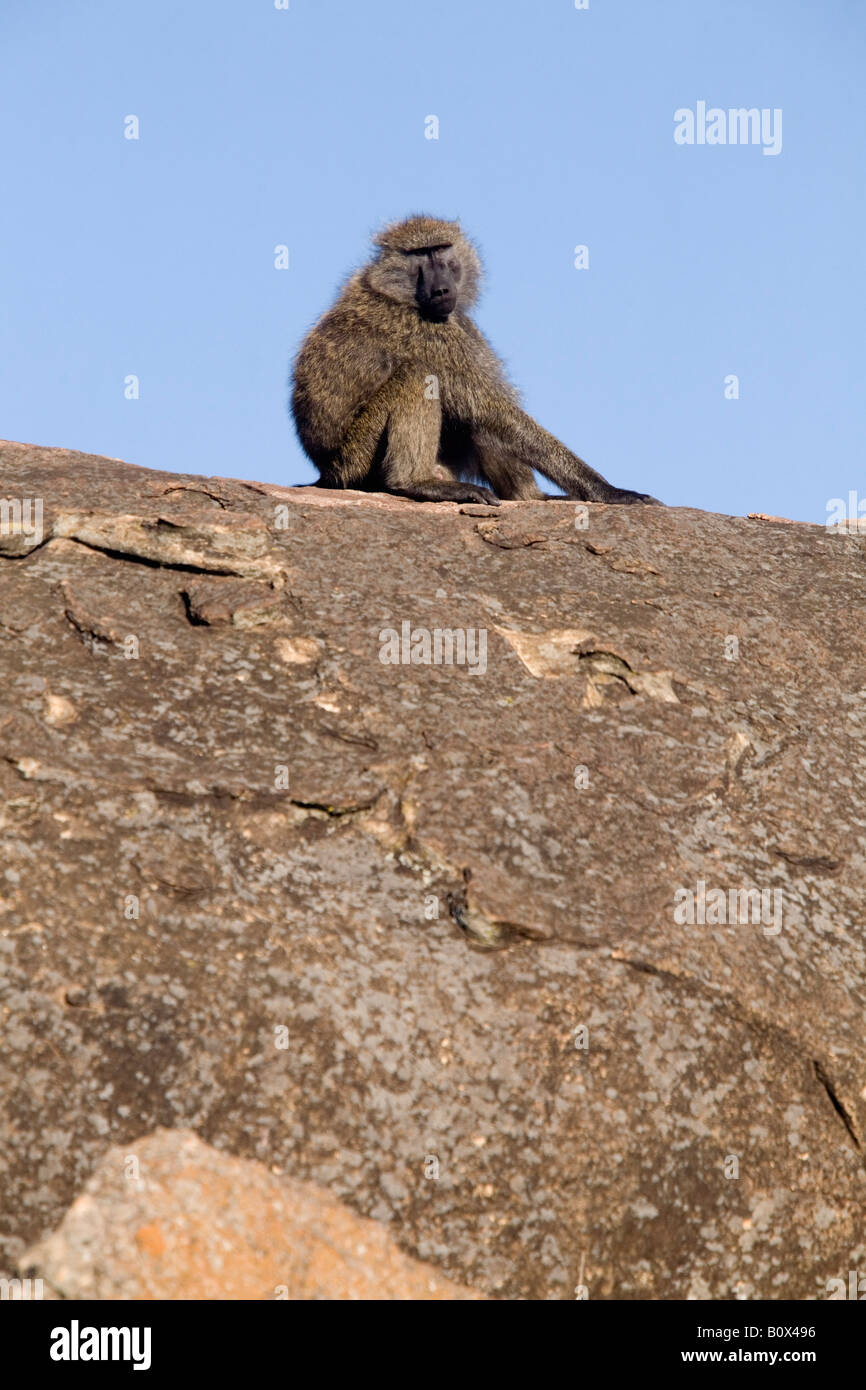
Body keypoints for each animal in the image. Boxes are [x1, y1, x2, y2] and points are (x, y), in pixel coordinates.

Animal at [289, 212, 656, 505]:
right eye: (420, 255)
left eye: (441, 251)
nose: (441, 290)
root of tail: (327, 473)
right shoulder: (426, 332)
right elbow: (490, 407)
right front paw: (606, 490)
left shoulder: (460, 322)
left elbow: (493, 409)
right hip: (356, 460)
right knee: (419, 376)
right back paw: (414, 483)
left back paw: (530, 497)